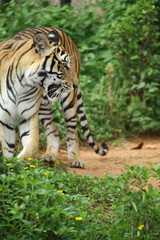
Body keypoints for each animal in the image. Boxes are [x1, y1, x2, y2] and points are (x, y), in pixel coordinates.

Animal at [0, 27, 108, 168]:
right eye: (64, 65)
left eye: (69, 64)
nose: (74, 84)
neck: (23, 84)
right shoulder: (4, 119)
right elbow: (7, 148)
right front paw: (9, 166)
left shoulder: (28, 117)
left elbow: (31, 148)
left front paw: (18, 163)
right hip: (44, 107)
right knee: (53, 130)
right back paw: (49, 155)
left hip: (69, 103)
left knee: (73, 131)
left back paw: (75, 159)